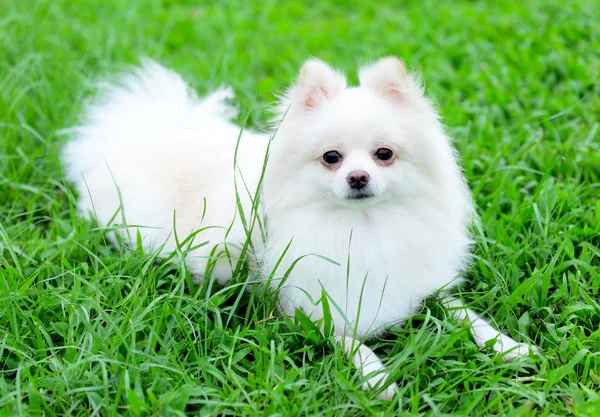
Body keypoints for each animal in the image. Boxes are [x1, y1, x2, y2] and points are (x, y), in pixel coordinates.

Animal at [62, 57, 540, 398]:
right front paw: (377, 377)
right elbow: (349, 340)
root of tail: (145, 136)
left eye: (384, 154)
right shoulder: (309, 304)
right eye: (331, 157)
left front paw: (509, 346)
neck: (364, 224)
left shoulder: (421, 283)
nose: (358, 177)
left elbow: (463, 313)